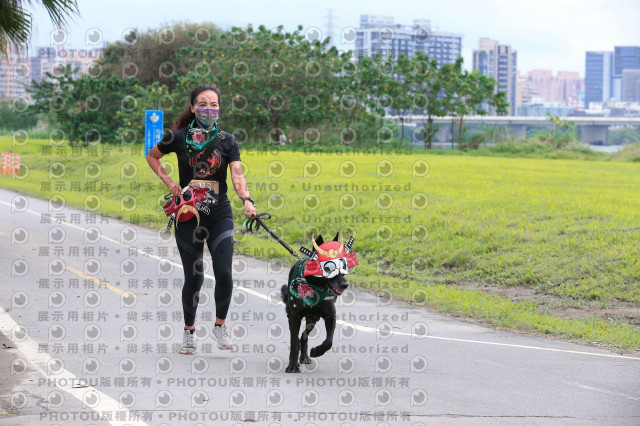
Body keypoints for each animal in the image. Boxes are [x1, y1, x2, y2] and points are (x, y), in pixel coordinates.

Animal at [282, 233, 360, 372]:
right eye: (329, 268)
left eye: (344, 266)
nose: (345, 285)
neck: (315, 287)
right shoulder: (295, 318)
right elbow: (293, 343)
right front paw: (292, 365)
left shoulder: (330, 317)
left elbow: (329, 342)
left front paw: (317, 351)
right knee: (297, 338)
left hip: (313, 319)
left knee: (303, 337)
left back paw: (305, 356)